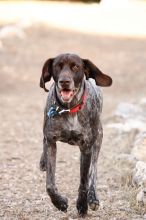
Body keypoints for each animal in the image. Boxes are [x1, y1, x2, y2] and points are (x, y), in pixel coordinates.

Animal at [38, 53, 112, 217]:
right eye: (58, 66)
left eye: (76, 67)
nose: (64, 81)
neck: (69, 109)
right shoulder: (51, 142)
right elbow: (50, 185)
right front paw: (60, 203)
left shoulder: (86, 147)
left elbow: (84, 181)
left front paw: (82, 205)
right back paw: (43, 162)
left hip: (97, 141)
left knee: (93, 172)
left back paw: (93, 198)